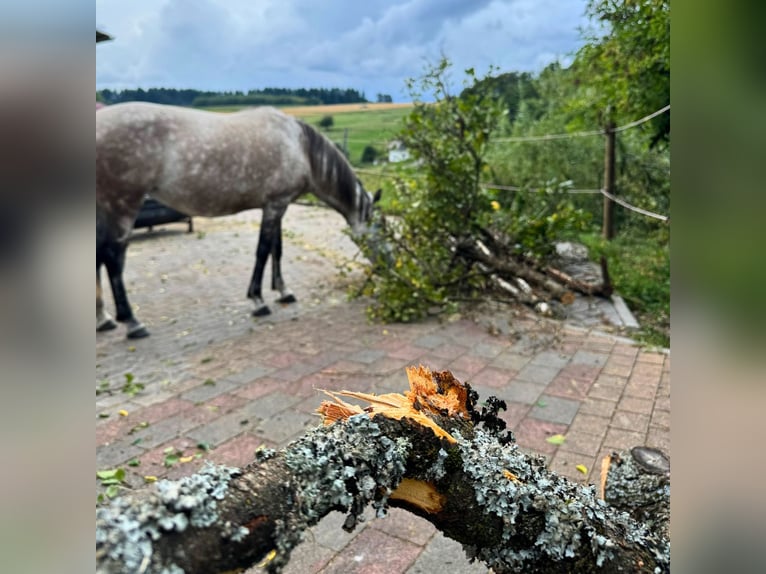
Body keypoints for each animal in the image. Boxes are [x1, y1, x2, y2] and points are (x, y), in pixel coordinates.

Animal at [97, 103, 382, 340]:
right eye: (382, 230)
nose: (386, 268)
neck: (300, 146)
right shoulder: (275, 206)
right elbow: (263, 251)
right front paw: (258, 300)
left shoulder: (277, 206)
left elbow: (277, 249)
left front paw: (283, 291)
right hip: (123, 205)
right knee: (113, 258)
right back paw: (132, 322)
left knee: (99, 256)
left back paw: (104, 319)